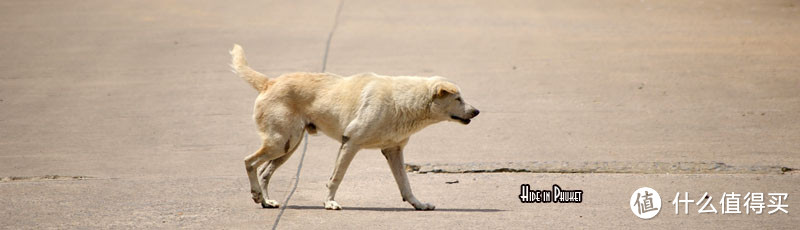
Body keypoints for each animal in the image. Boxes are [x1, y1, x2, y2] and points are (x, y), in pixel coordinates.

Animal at [228, 43, 478, 210]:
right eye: (458, 98)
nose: (476, 112)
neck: (403, 102)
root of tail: (269, 82)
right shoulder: (350, 143)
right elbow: (335, 178)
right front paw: (329, 203)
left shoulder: (393, 151)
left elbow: (405, 184)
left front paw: (418, 204)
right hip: (280, 143)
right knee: (249, 162)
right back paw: (256, 194)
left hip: (289, 146)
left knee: (264, 172)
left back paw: (265, 200)